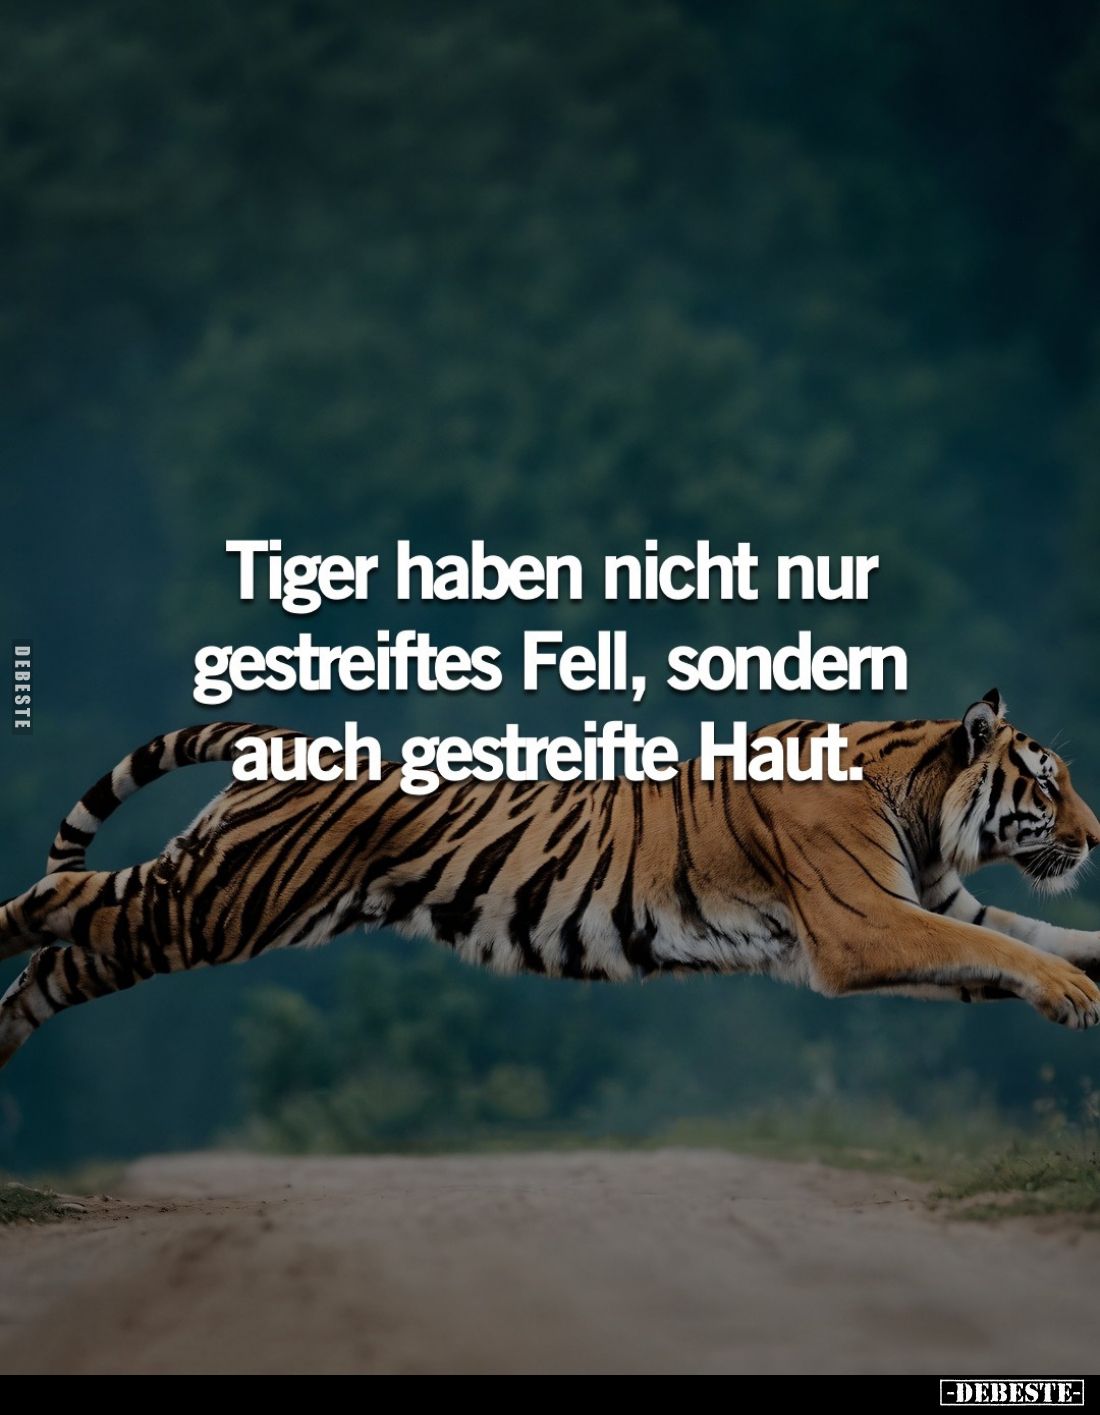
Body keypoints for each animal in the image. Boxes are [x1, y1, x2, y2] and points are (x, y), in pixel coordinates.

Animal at [0, 687, 1099, 1070]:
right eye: (1049, 781)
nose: (1093, 837)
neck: (921, 808)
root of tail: (286, 741)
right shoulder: (863, 922)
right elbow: (995, 945)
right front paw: (1072, 995)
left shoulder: (926, 906)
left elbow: (1018, 939)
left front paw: (1076, 975)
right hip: (216, 903)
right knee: (51, 903)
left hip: (203, 909)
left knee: (60, 964)